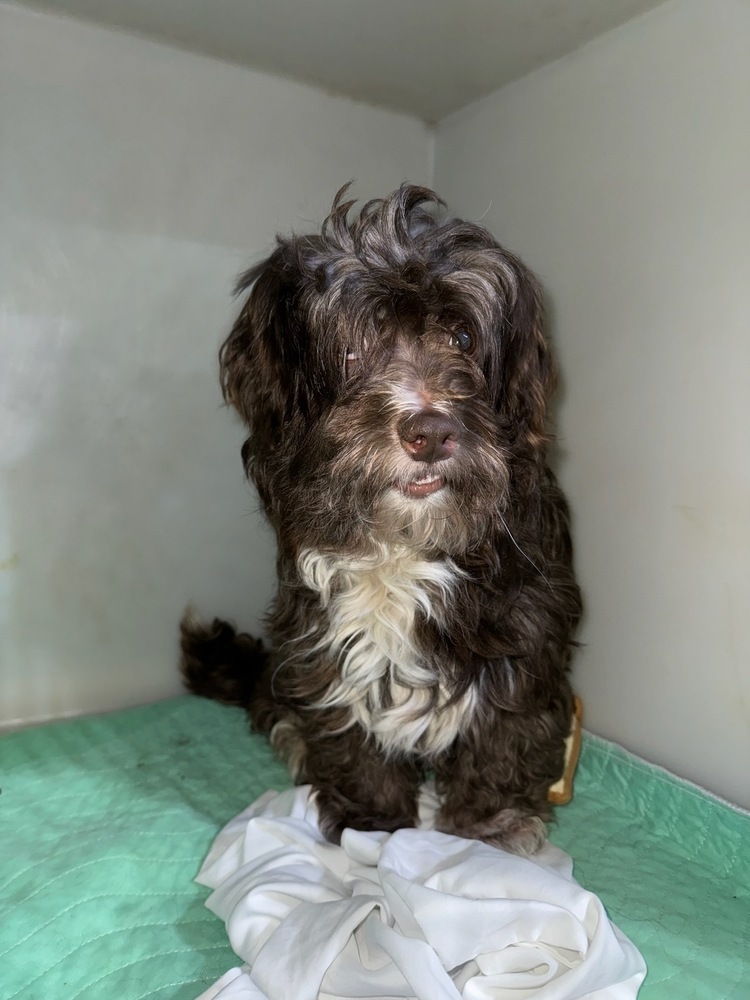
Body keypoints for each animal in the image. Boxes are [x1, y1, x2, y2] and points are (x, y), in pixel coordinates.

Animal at [181, 184, 580, 856]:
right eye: (353, 344)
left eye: (462, 337)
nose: (431, 432)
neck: (403, 545)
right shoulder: (321, 644)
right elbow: (353, 743)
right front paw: (373, 825)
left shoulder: (525, 639)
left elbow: (502, 739)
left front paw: (485, 831)